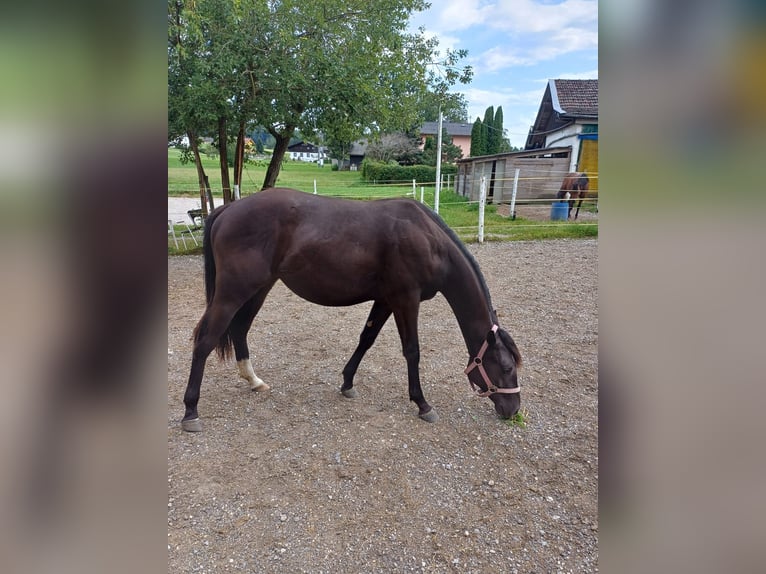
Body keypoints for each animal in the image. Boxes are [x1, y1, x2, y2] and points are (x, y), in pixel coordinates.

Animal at [183, 188, 524, 432]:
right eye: (507, 368)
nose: (513, 410)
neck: (426, 238)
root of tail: (227, 209)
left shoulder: (386, 300)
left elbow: (366, 339)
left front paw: (347, 383)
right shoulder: (406, 299)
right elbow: (412, 350)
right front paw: (422, 404)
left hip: (259, 289)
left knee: (239, 330)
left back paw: (254, 381)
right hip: (233, 293)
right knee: (205, 339)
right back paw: (190, 411)